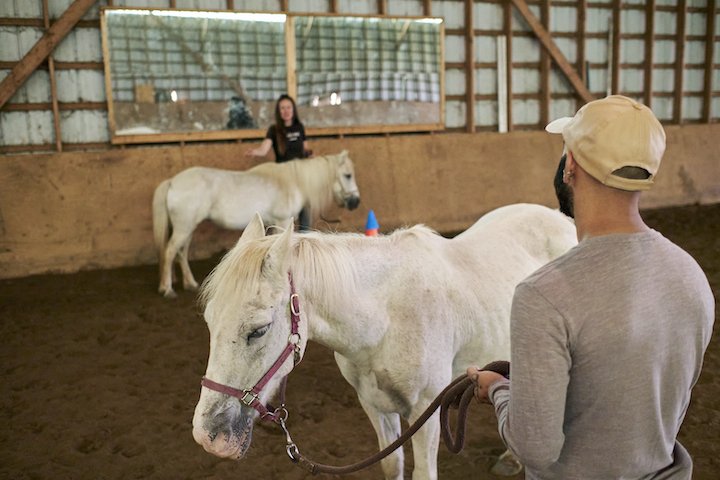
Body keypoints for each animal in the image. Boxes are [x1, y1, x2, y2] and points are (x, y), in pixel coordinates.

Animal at [155, 152, 362, 298]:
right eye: (348, 175)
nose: (356, 202)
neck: (292, 181)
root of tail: (172, 182)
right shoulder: (282, 221)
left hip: (188, 229)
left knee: (182, 253)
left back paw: (190, 284)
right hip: (184, 228)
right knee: (170, 251)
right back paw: (168, 289)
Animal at [193, 203, 580, 480]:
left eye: (258, 330)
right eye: (209, 321)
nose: (207, 436)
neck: (386, 319)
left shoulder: (427, 410)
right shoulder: (374, 405)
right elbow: (392, 465)